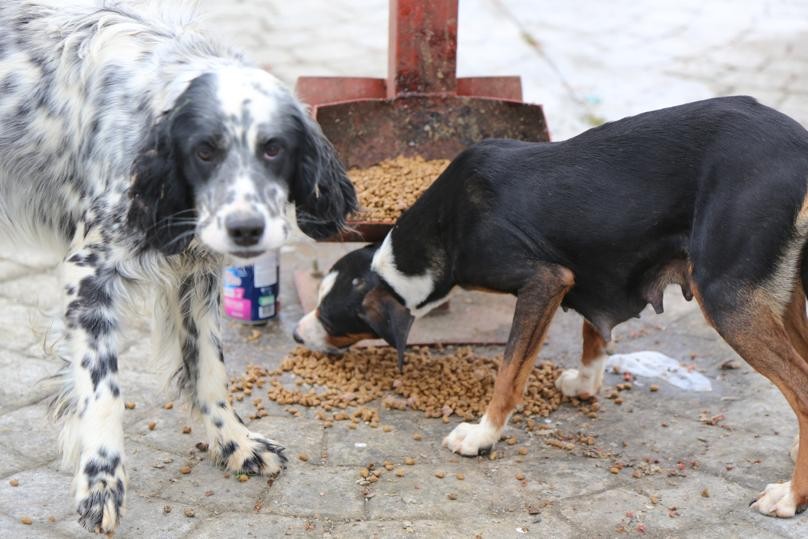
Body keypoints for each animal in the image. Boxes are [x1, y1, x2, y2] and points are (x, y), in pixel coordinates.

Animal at [0, 1, 356, 536]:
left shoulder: (197, 274)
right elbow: (103, 391)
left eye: (273, 147)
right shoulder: (88, 276)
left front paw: (235, 443)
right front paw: (101, 482)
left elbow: (210, 368)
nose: (246, 229)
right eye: (204, 151)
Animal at [296, 97, 808, 520]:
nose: (298, 335)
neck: (446, 225)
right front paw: (585, 382)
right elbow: (592, 336)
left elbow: (509, 373)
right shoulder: (591, 267)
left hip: (726, 297)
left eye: (332, 316)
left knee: (800, 389)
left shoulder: (545, 281)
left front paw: (483, 435)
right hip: (784, 301)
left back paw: (790, 497)